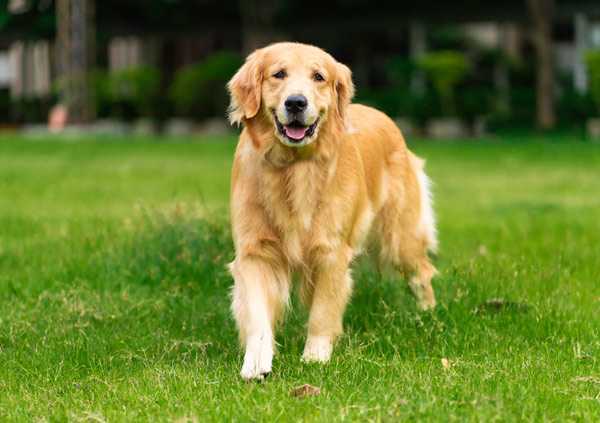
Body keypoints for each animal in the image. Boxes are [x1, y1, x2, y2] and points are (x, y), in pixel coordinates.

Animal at [227, 42, 438, 380]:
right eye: (278, 74)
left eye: (318, 77)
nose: (296, 102)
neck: (293, 167)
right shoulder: (254, 252)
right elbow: (257, 313)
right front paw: (256, 362)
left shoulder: (331, 252)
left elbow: (323, 312)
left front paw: (315, 356)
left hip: (400, 238)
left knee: (422, 273)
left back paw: (427, 316)